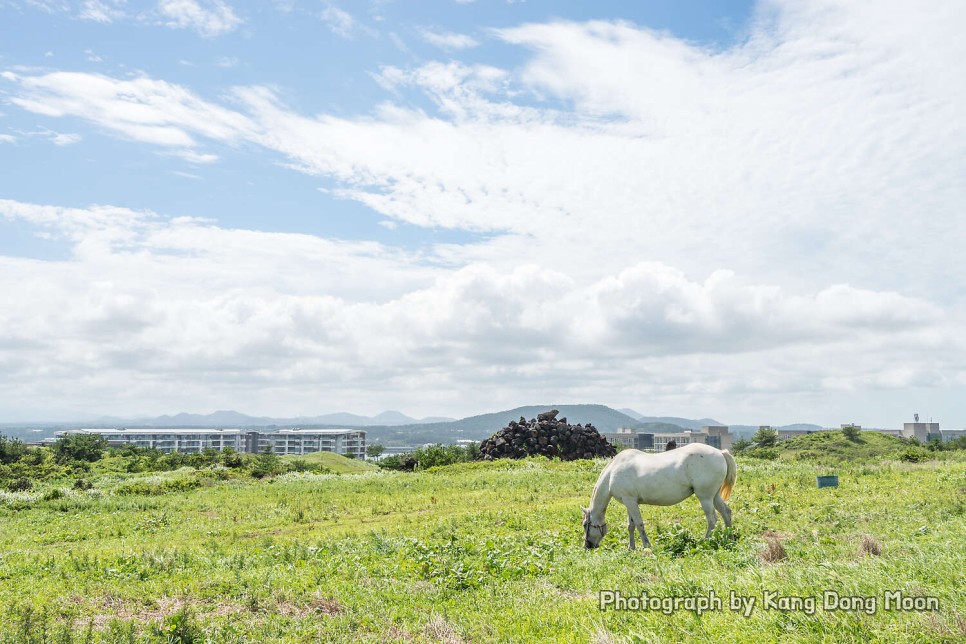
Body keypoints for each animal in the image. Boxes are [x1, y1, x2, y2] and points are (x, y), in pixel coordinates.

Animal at [588, 446, 736, 552]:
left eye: (586, 525)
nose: (587, 546)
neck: (613, 471)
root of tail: (720, 452)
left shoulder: (630, 502)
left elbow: (639, 524)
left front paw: (646, 546)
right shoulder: (629, 502)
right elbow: (631, 526)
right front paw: (631, 548)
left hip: (705, 497)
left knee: (712, 519)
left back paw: (705, 541)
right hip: (714, 496)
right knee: (726, 513)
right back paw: (730, 538)